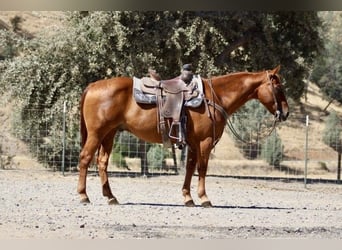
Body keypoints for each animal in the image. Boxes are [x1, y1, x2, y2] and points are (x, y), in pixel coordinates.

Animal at [77, 65, 288, 207]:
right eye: (278, 88)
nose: (285, 113)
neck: (215, 97)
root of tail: (92, 86)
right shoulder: (205, 142)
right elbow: (202, 168)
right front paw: (204, 198)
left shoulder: (193, 143)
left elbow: (189, 168)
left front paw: (188, 198)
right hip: (97, 133)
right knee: (85, 158)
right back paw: (83, 196)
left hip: (109, 134)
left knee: (102, 162)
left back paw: (111, 197)